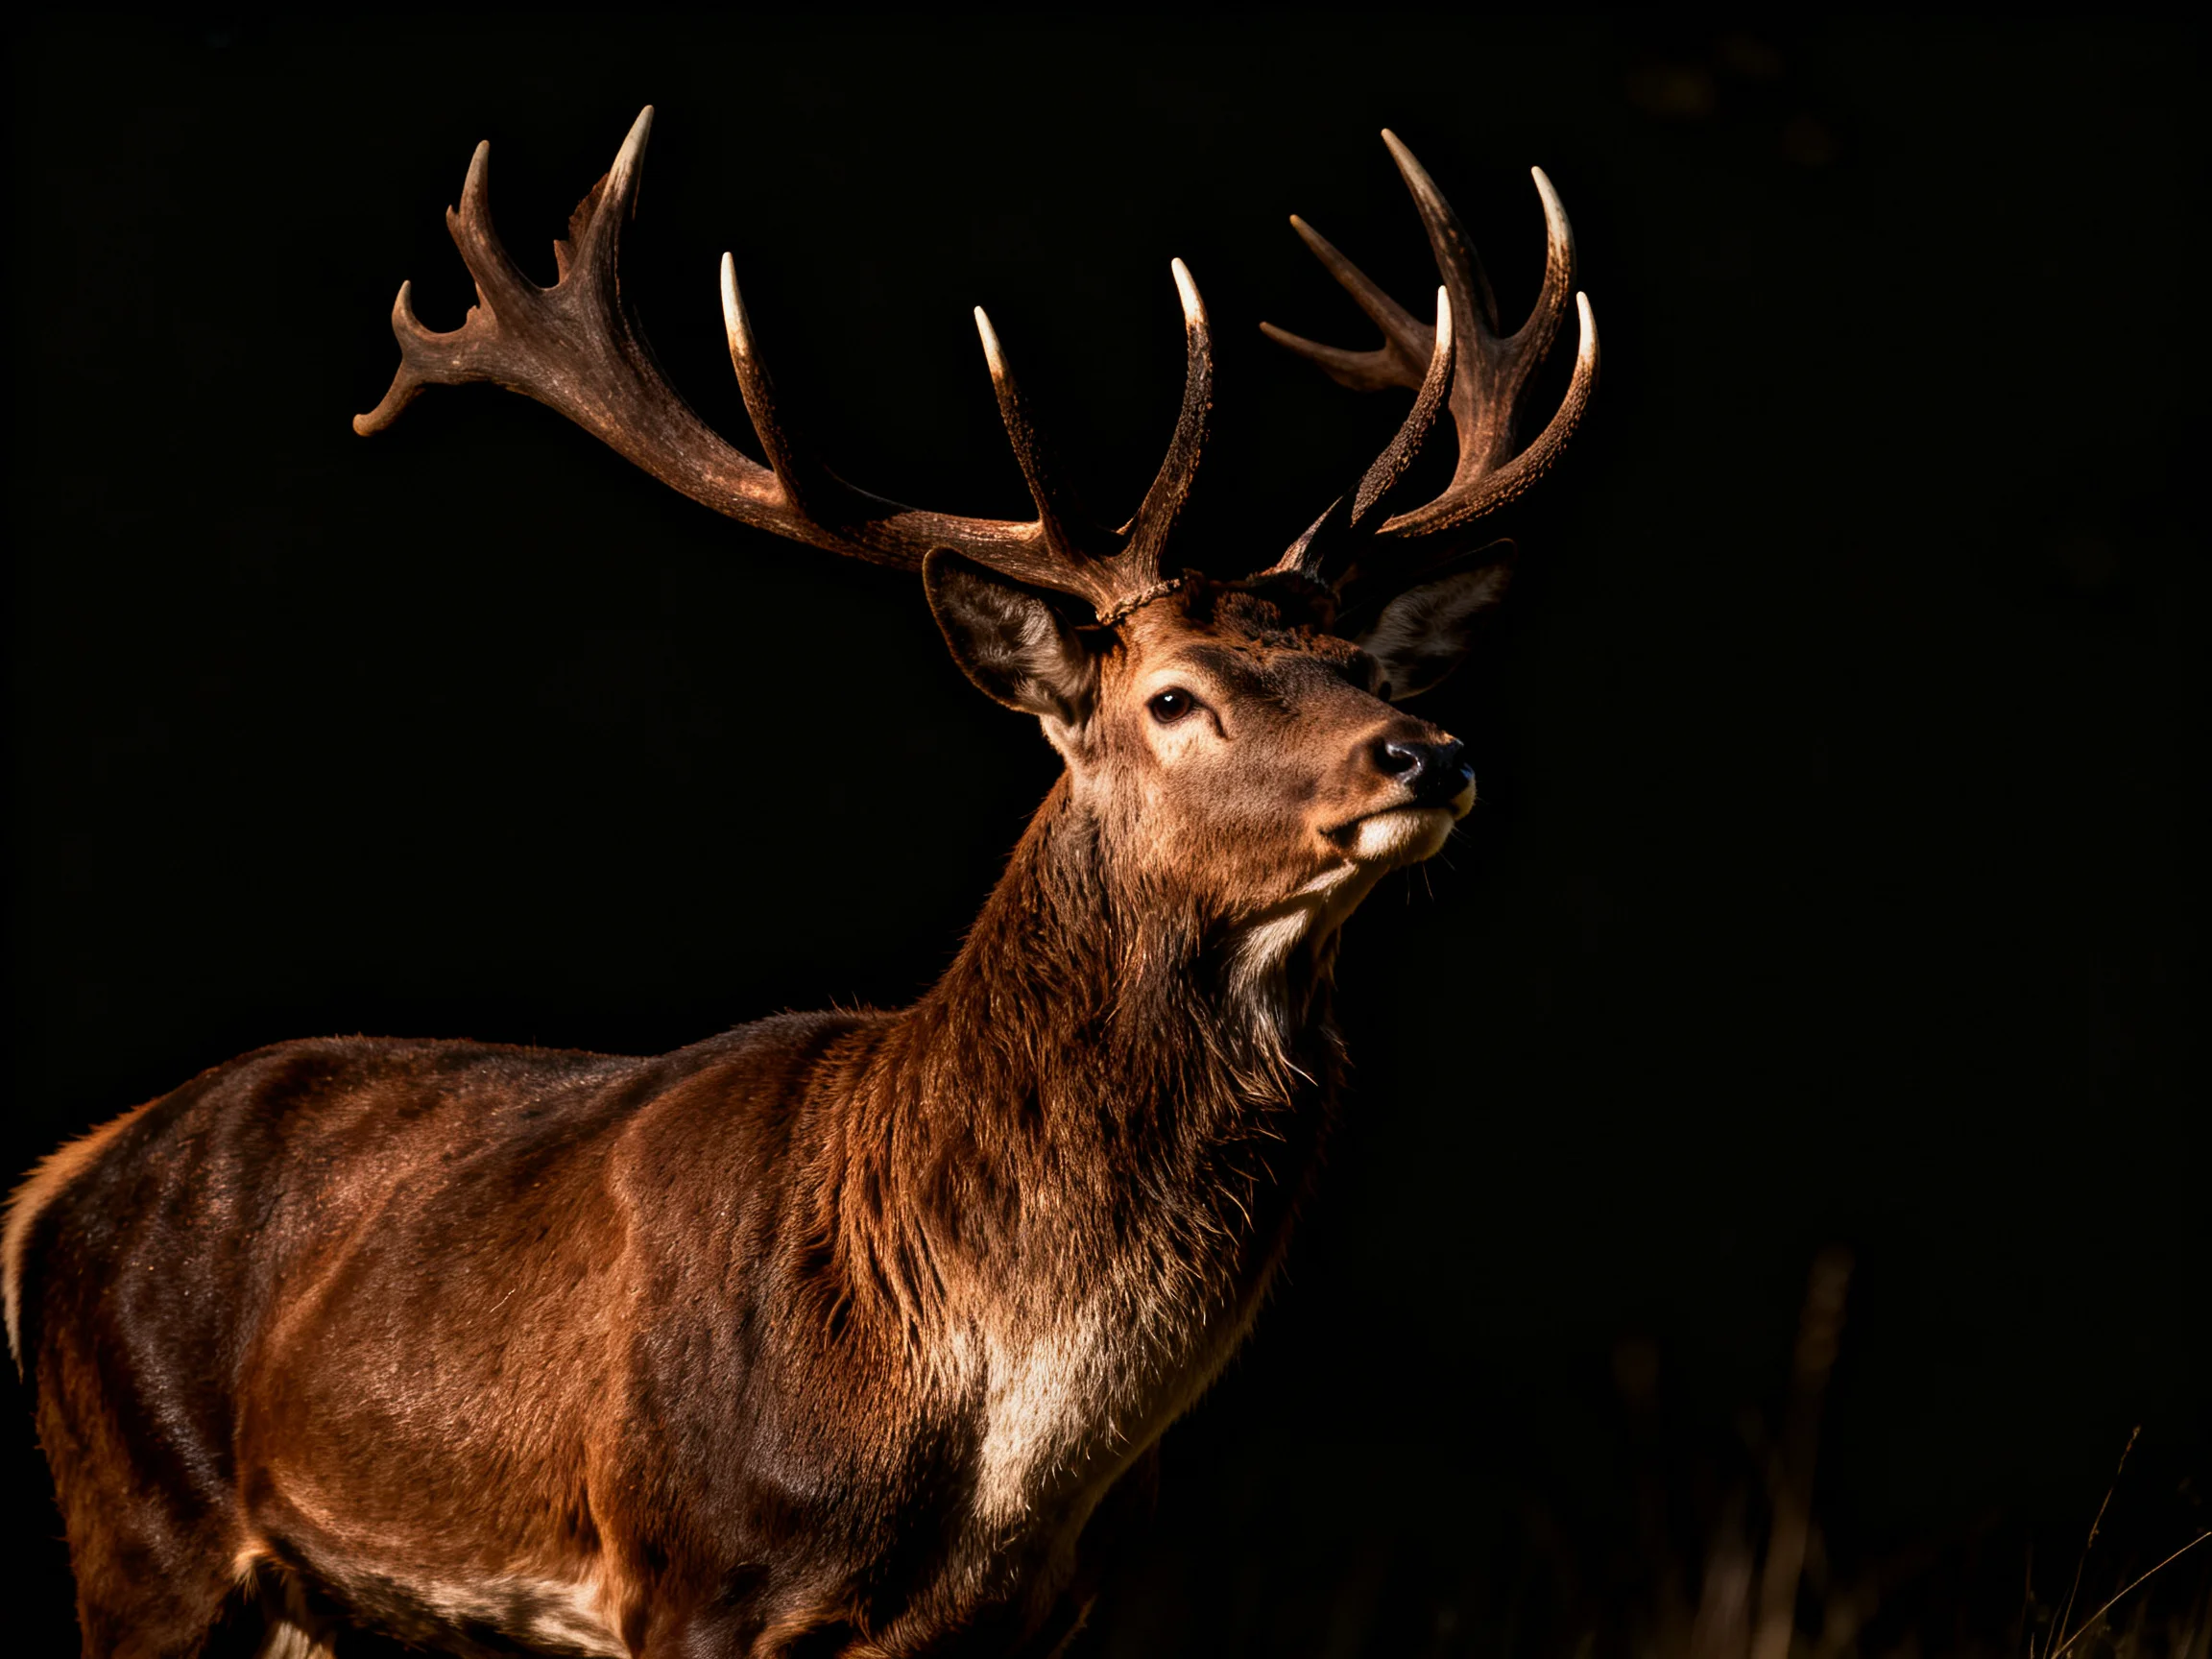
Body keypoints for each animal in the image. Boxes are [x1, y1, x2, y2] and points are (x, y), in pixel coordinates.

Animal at [4, 108, 1595, 1658]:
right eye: (1175, 698)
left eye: (1366, 664)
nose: (1428, 755)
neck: (985, 1428)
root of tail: (51, 1194)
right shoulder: (693, 1567)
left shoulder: (1043, 1613)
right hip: (139, 1523)